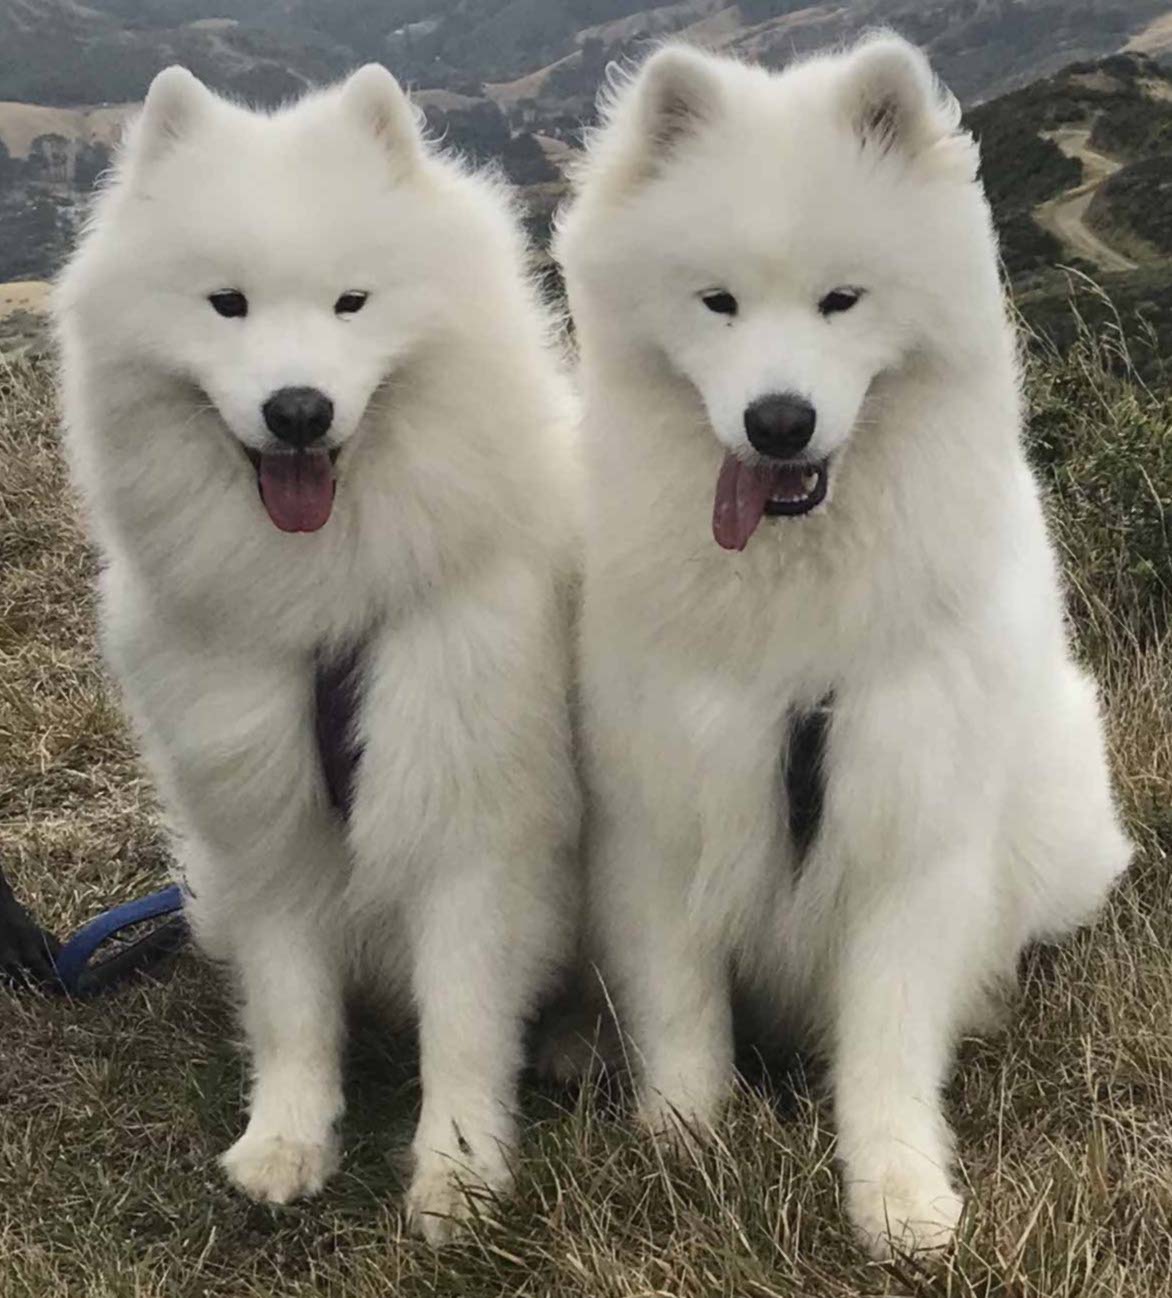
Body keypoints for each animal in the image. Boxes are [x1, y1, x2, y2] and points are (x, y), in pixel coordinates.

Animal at [55, 65, 581, 1240]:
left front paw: (458, 1173)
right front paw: (286, 1141)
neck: (330, 609)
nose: (297, 409)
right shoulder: (266, 823)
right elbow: (294, 1008)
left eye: (352, 303)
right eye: (227, 304)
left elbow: (463, 1020)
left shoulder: (470, 822)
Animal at [558, 35, 1136, 1256]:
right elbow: (679, 1004)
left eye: (840, 300)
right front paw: (683, 1141)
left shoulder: (904, 821)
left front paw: (899, 1195)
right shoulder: (665, 803)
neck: (794, 604)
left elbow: (886, 1038)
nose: (778, 422)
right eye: (718, 302)